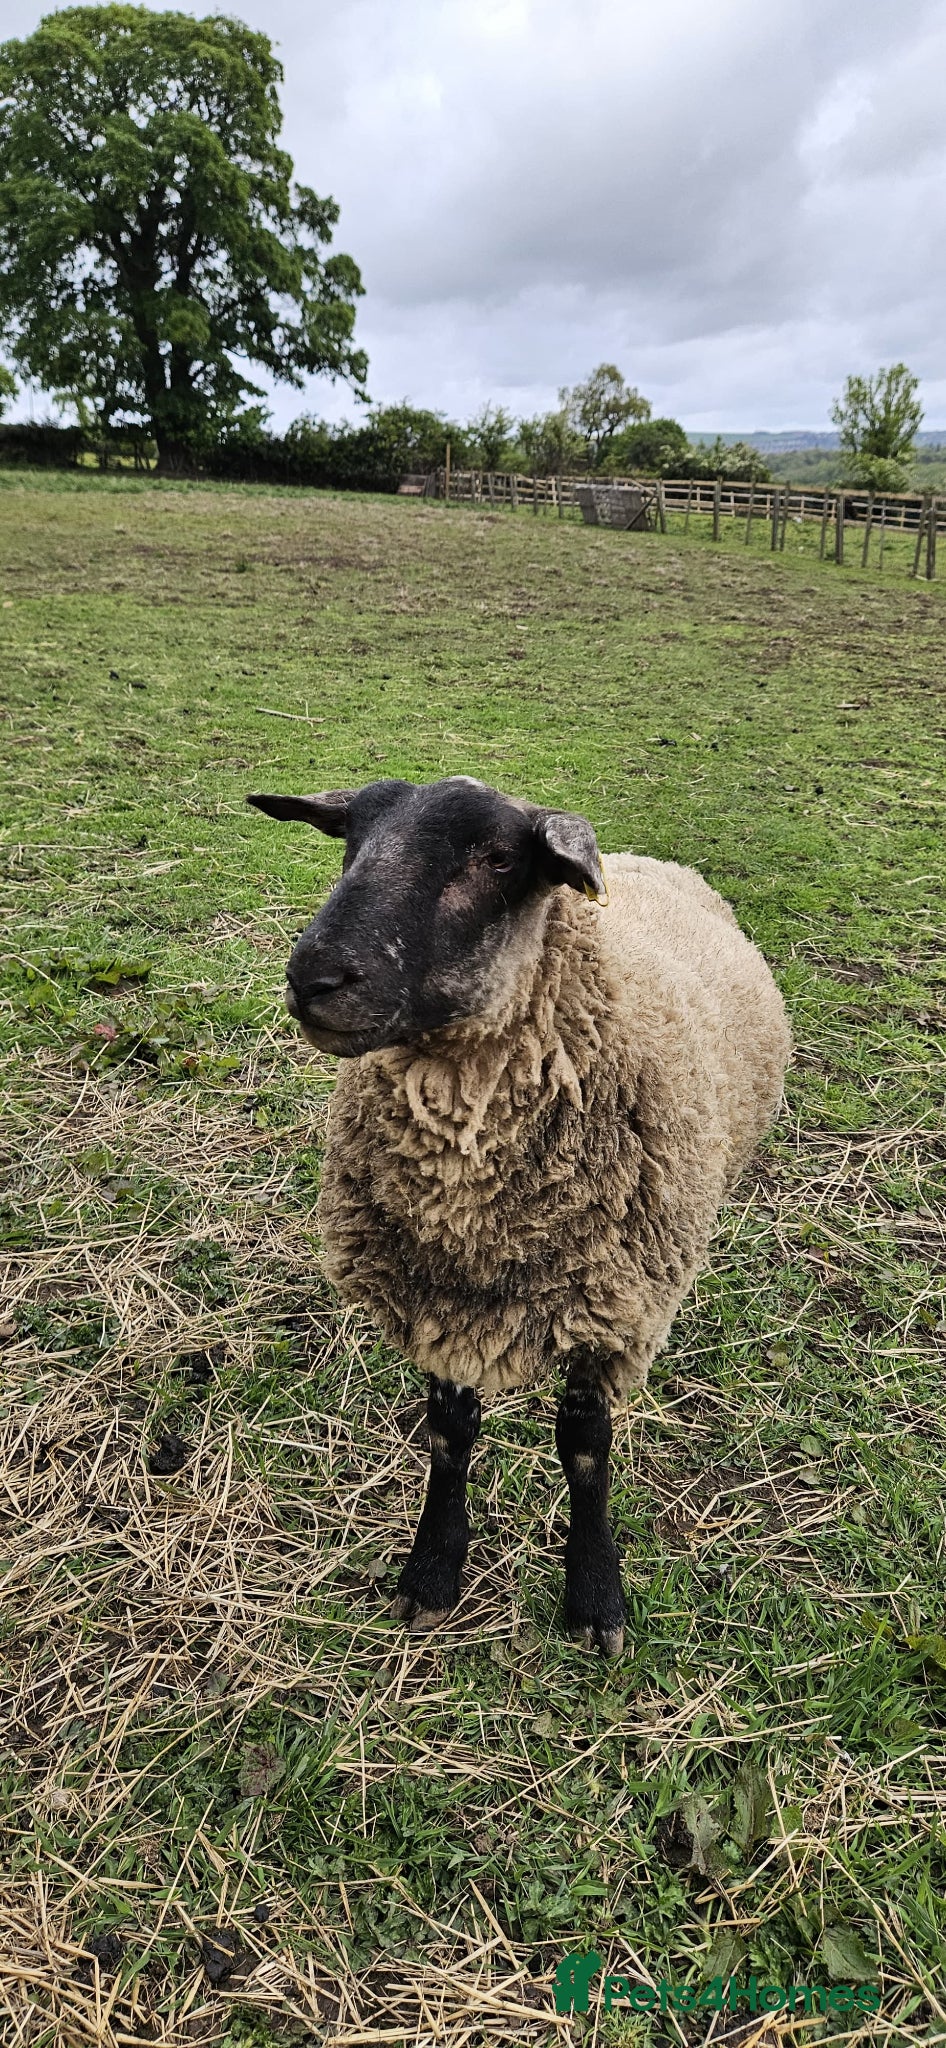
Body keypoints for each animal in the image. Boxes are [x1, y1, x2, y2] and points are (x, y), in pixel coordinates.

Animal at [248, 775, 791, 1656]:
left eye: (500, 857)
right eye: (350, 837)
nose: (315, 978)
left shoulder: (610, 1312)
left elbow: (585, 1453)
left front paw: (596, 1596)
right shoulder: (437, 1299)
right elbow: (449, 1435)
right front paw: (432, 1572)